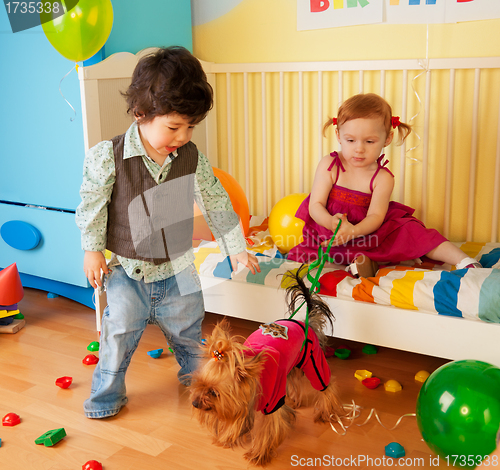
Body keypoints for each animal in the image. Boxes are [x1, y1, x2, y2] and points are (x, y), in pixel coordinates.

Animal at [189, 266, 346, 464]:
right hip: (292, 365)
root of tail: (304, 322)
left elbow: (269, 429)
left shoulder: (272, 402)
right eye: (199, 385)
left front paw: (259, 454)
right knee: (295, 380)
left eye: (214, 393)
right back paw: (295, 401)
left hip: (313, 360)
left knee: (326, 385)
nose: (194, 403)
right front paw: (228, 438)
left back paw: (327, 412)